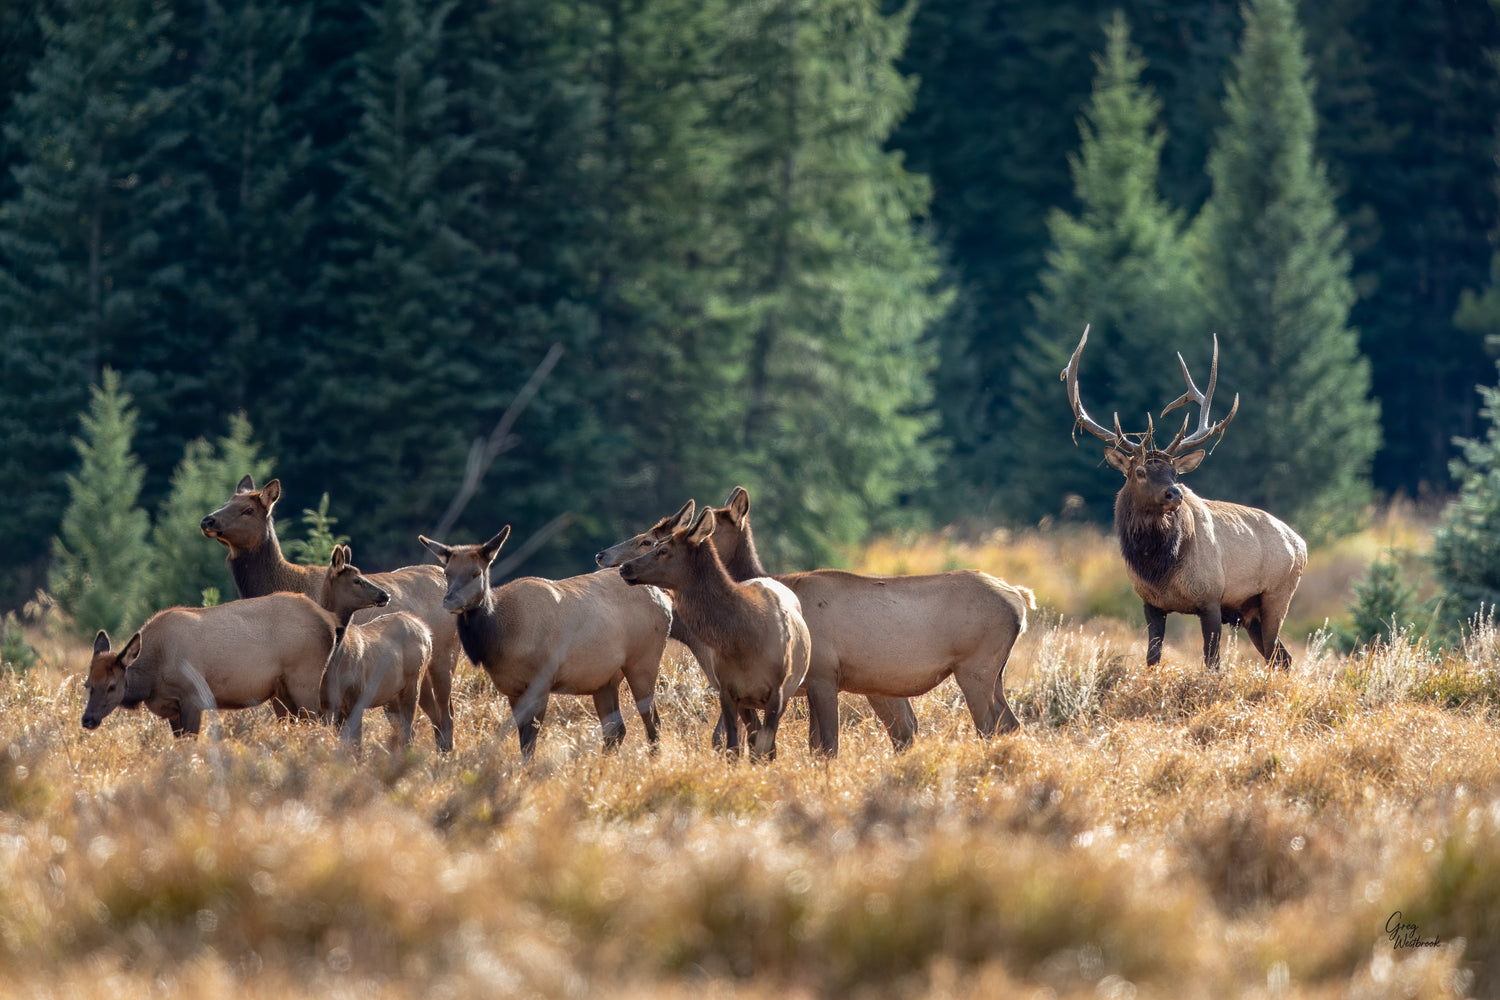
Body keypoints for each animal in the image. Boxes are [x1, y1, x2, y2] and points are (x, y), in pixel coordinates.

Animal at [317, 545, 434, 750]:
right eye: (356, 580)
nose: (385, 594)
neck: (334, 661)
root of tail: (426, 632)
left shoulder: (357, 695)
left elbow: (356, 744)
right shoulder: (327, 705)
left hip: (413, 681)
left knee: (408, 731)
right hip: (391, 695)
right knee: (406, 731)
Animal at [417, 527, 672, 760]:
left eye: (476, 573)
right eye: (447, 572)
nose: (450, 601)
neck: (501, 637)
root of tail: (664, 600)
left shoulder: (541, 680)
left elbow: (531, 738)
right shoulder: (512, 688)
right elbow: (523, 738)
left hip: (643, 661)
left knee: (652, 720)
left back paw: (653, 760)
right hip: (604, 679)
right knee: (615, 730)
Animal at [618, 507, 812, 761]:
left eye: (662, 549)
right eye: (655, 543)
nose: (624, 567)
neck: (744, 641)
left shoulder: (777, 693)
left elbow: (764, 749)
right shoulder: (728, 691)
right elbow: (732, 747)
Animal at [699, 487, 1032, 755]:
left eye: (709, 527)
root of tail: (1019, 600)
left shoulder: (823, 674)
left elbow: (825, 745)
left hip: (975, 667)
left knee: (989, 726)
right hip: (994, 672)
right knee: (1009, 724)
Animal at [1062, 324, 1307, 669]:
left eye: (1175, 472)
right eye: (1140, 471)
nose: (1174, 493)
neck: (1158, 567)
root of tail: (1301, 544)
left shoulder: (1211, 597)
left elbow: (1212, 663)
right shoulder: (1150, 603)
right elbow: (1152, 659)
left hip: (1276, 596)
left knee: (1279, 656)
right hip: (1250, 614)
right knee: (1281, 657)